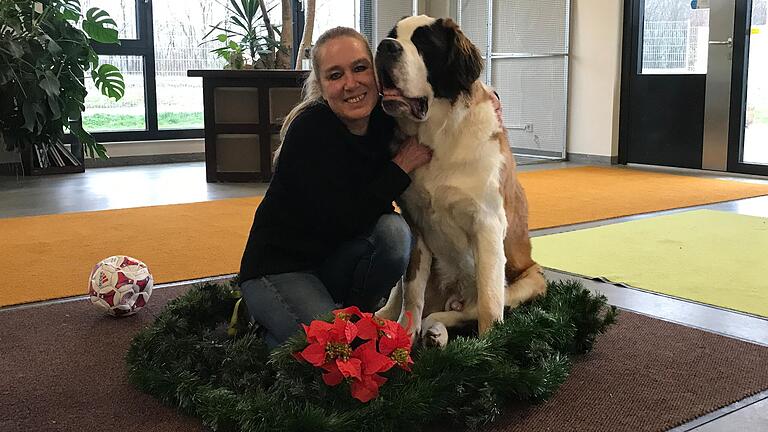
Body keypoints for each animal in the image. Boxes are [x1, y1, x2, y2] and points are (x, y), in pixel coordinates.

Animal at [374, 16, 544, 348]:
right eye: (392, 36)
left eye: (424, 43)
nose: (385, 47)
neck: (438, 137)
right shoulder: (415, 225)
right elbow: (412, 292)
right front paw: (405, 337)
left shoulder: (487, 224)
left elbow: (489, 301)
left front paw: (489, 348)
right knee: (409, 298)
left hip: (531, 279)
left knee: (472, 307)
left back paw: (436, 330)